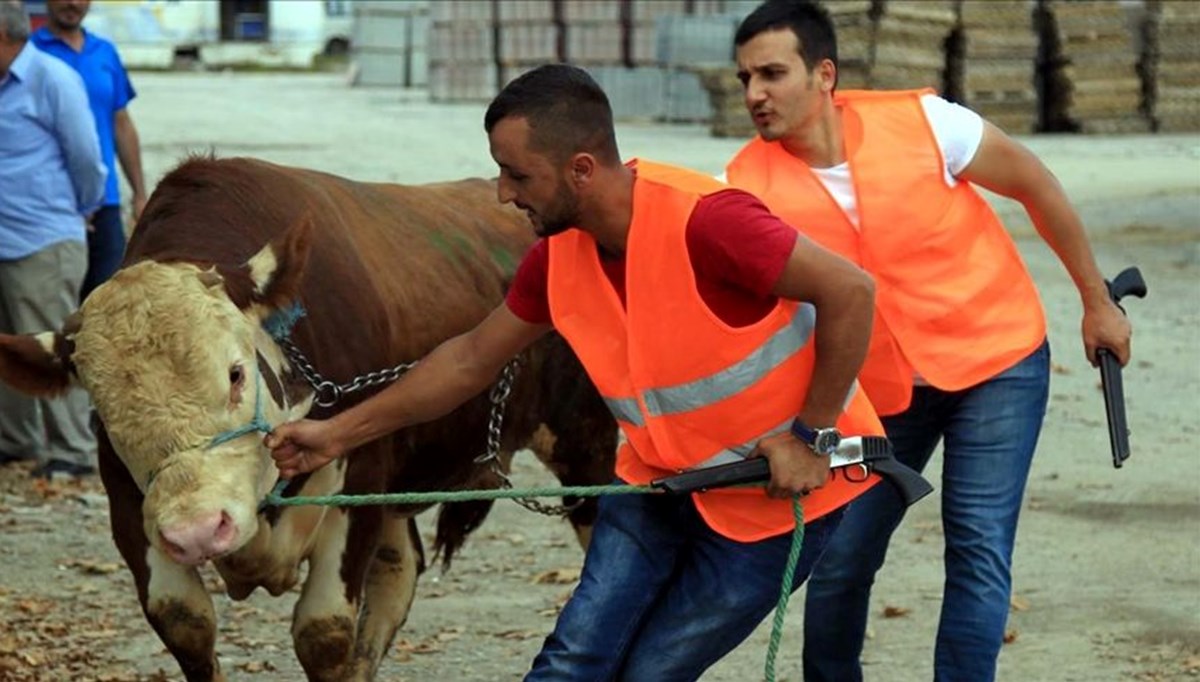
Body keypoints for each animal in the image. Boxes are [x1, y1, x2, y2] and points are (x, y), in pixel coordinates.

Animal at [0, 156, 619, 682]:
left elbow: (323, 632)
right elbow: (184, 620)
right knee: (399, 571)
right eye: (103, 409)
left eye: (235, 373)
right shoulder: (131, 502)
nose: (198, 531)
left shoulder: (361, 478)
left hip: (586, 446)